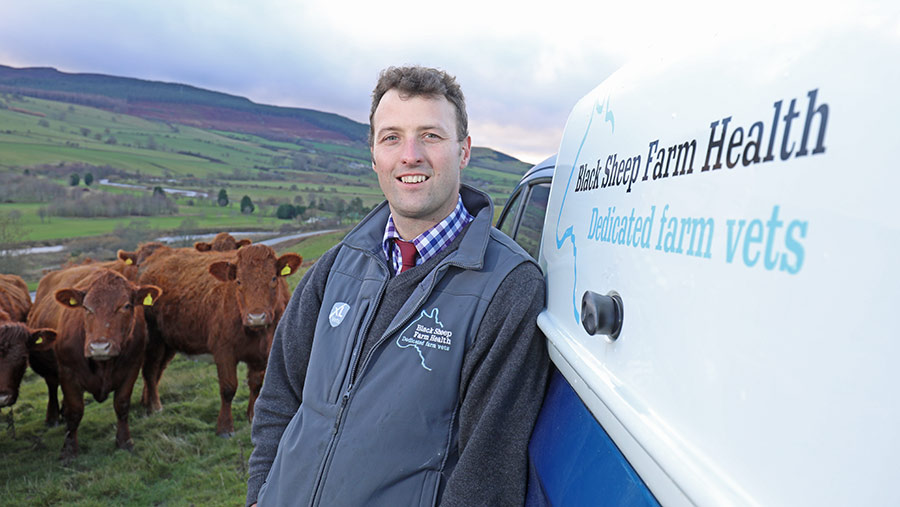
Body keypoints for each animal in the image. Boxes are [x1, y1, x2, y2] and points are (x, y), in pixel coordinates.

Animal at [51, 270, 160, 460]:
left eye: (126, 306)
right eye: (86, 308)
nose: (99, 347)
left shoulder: (132, 368)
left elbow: (122, 404)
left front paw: (124, 441)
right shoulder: (67, 372)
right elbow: (75, 411)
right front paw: (69, 451)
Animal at [136, 243, 298, 436]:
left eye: (273, 278)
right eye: (238, 282)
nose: (256, 317)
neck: (259, 334)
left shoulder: (264, 354)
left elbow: (256, 384)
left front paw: (252, 416)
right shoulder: (223, 351)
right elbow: (228, 388)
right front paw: (225, 427)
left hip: (169, 342)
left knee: (157, 371)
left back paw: (146, 402)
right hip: (154, 338)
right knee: (150, 371)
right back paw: (154, 406)